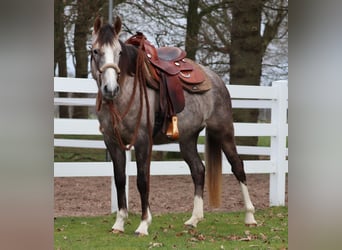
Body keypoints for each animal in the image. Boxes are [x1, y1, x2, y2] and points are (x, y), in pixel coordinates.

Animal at [91, 16, 256, 235]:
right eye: (95, 51)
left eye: (119, 52)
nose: (110, 88)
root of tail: (216, 79)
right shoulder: (112, 141)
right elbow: (119, 180)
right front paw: (119, 223)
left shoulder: (142, 140)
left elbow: (142, 180)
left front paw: (143, 224)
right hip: (187, 138)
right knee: (198, 170)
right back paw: (194, 219)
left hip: (223, 131)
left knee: (237, 166)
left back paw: (250, 216)